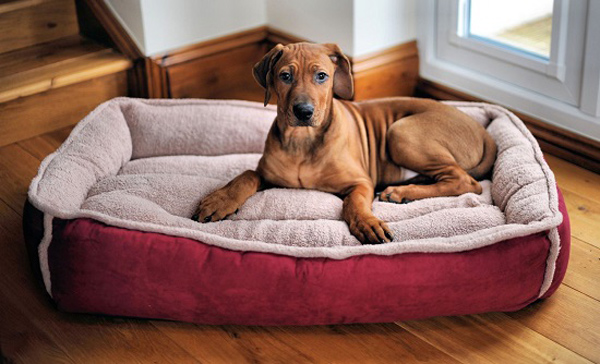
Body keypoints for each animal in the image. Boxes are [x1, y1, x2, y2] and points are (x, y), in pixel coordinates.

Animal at [192, 44, 496, 246]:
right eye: (285, 76)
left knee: (467, 182)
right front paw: (220, 200)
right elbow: (246, 175)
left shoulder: (360, 181)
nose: (303, 112)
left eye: (322, 76)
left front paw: (368, 223)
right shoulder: (268, 175)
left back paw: (400, 192)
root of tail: (483, 132)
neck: (303, 141)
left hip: (400, 132)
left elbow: (354, 202)